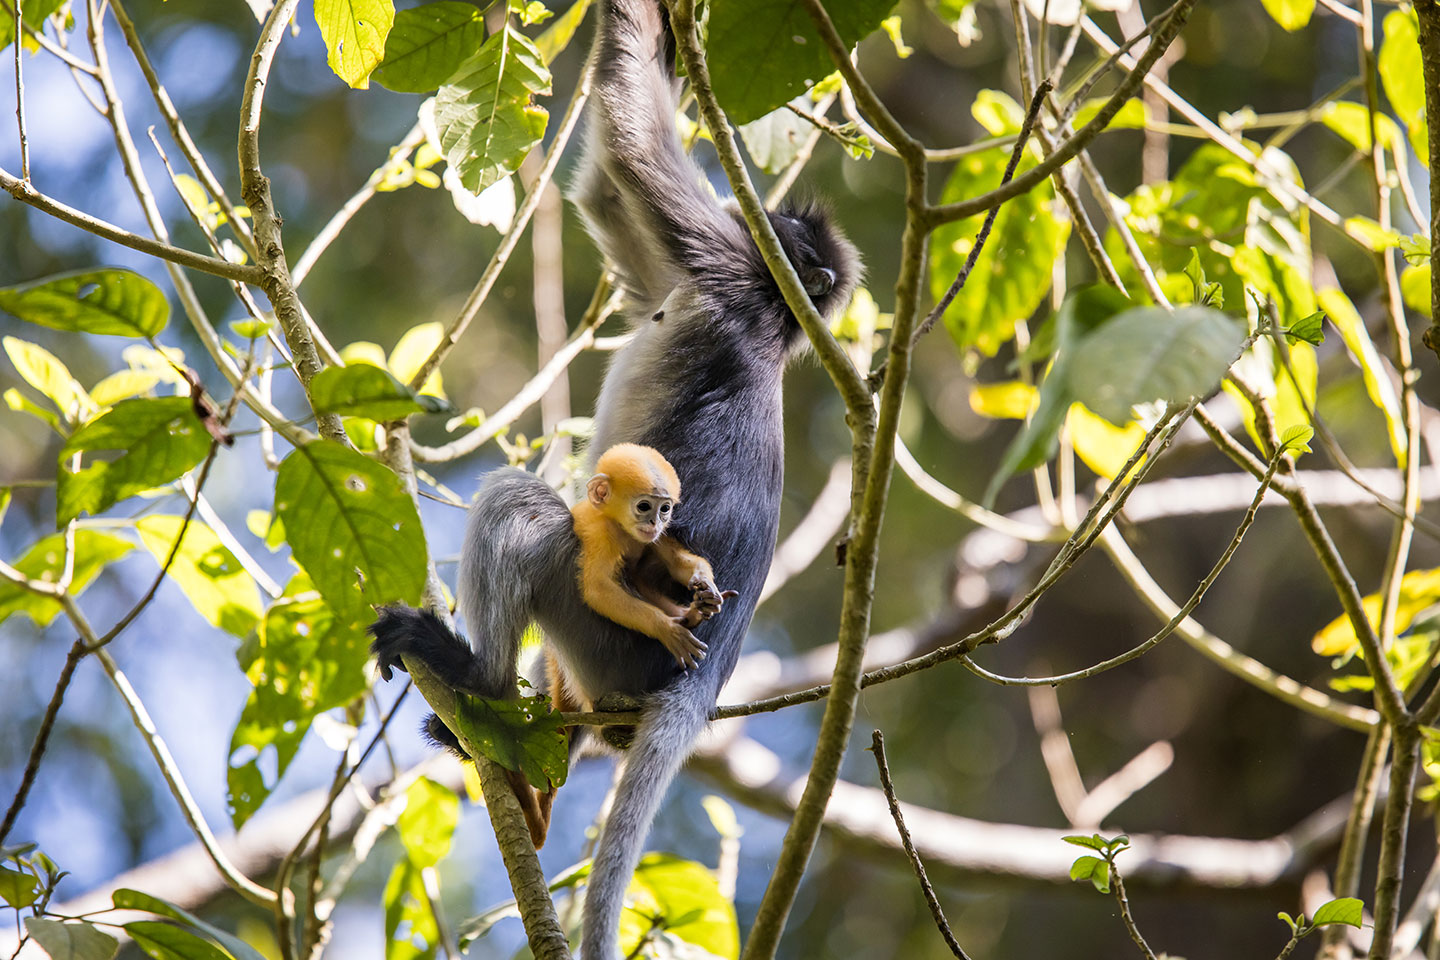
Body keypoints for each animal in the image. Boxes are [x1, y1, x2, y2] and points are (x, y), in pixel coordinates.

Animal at [574, 443, 737, 670]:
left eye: (665, 509)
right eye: (644, 506)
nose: (655, 522)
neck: (620, 527)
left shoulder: (657, 536)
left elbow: (676, 563)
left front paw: (705, 583)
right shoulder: (601, 532)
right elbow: (599, 589)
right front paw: (665, 628)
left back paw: (695, 611)